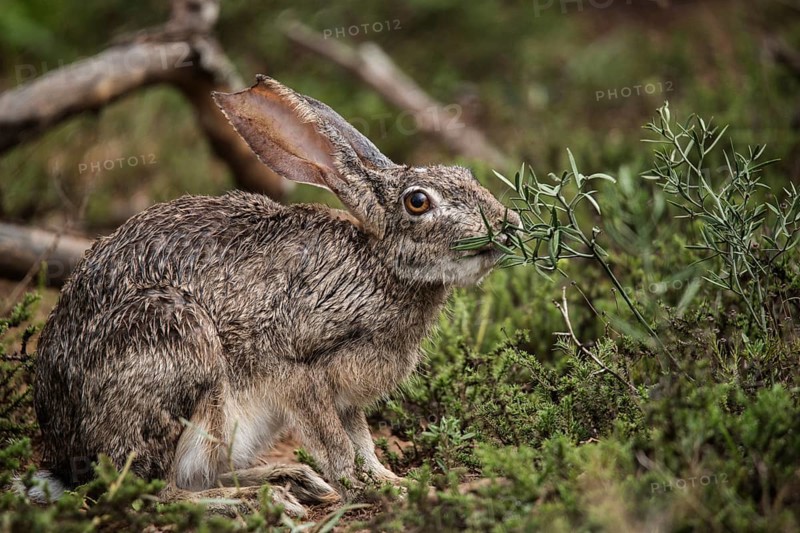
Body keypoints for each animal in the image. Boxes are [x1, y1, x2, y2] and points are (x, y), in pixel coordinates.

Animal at [27, 75, 520, 514]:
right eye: (418, 202)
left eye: (464, 173)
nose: (508, 223)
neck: (380, 264)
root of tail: (69, 459)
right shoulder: (299, 371)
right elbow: (338, 446)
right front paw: (375, 491)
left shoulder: (344, 397)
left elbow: (362, 441)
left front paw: (392, 481)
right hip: (174, 342)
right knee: (152, 491)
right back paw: (259, 501)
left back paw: (292, 479)